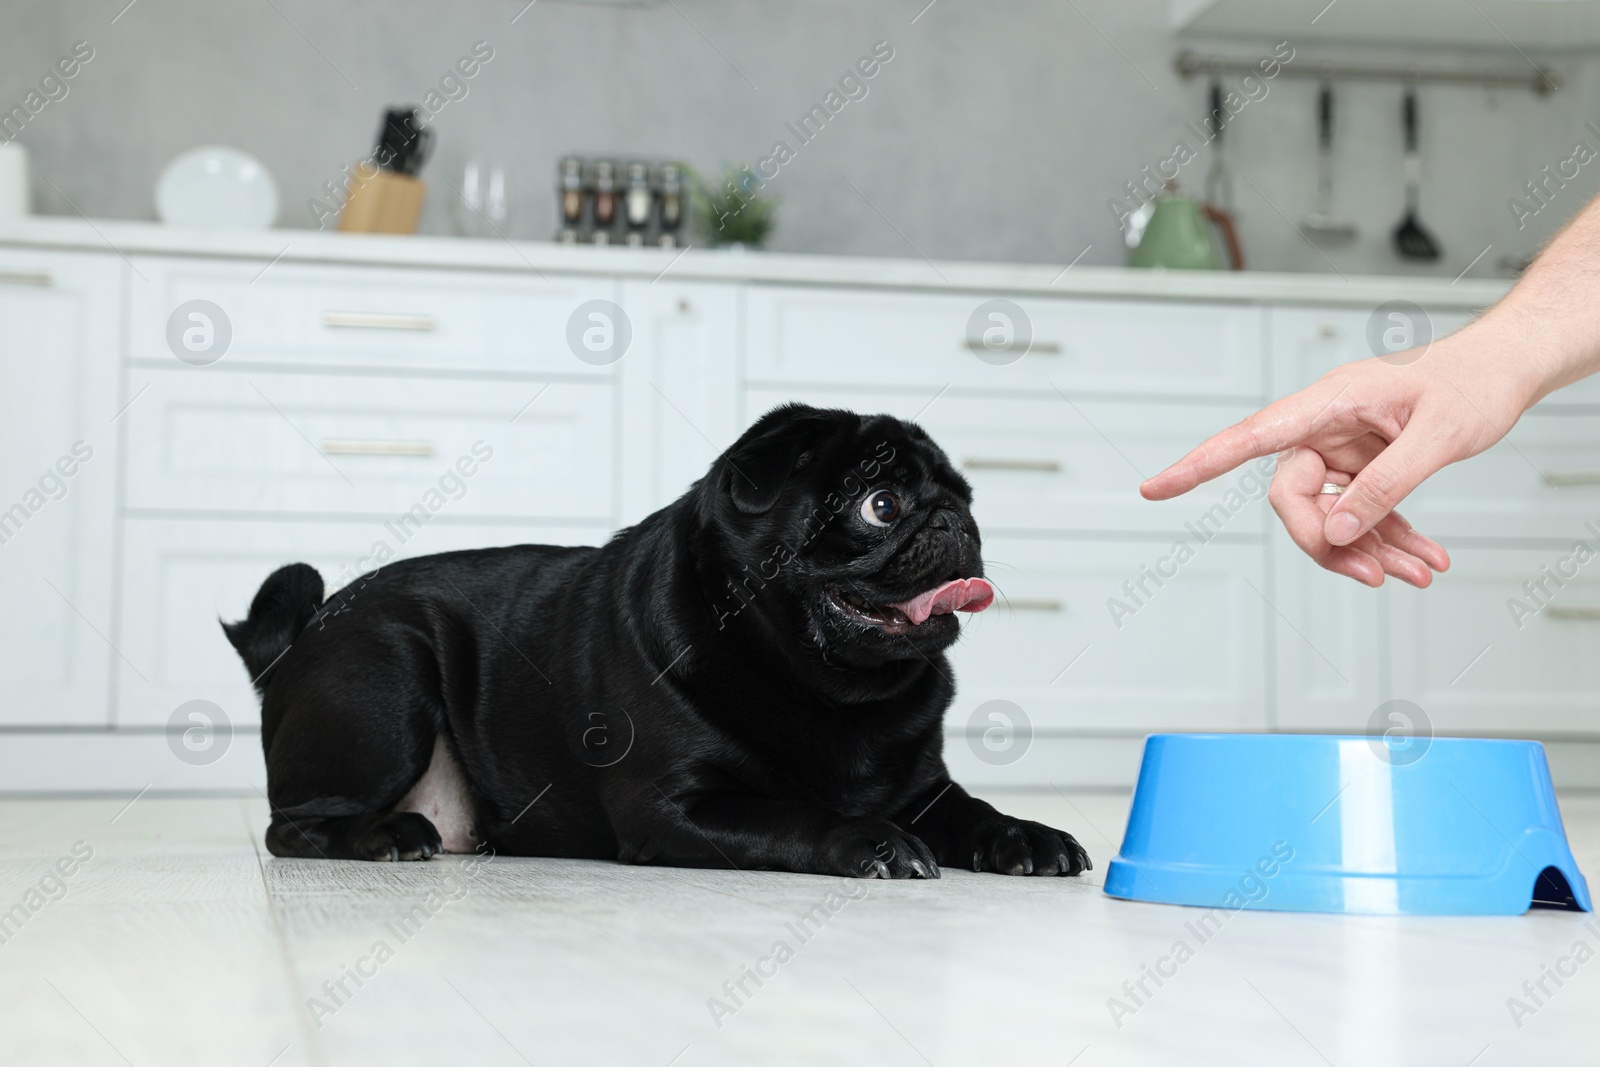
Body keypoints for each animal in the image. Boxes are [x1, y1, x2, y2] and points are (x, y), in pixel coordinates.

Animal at [225, 404, 1094, 883]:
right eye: (880, 504)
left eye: (969, 499)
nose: (955, 522)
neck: (824, 685)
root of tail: (300, 639)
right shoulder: (676, 807)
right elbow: (796, 814)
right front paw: (871, 840)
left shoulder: (927, 790)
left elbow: (973, 809)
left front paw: (1025, 835)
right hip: (390, 675)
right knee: (289, 825)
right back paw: (386, 836)